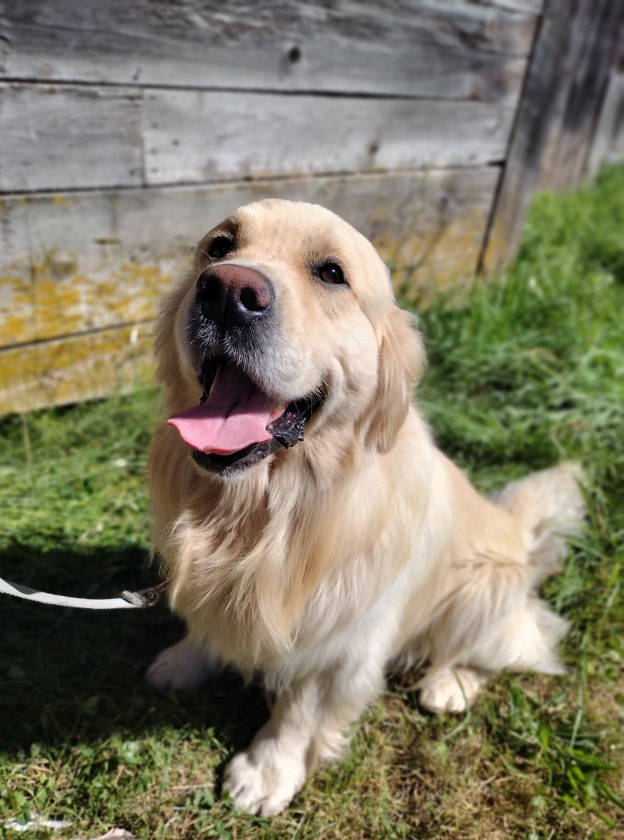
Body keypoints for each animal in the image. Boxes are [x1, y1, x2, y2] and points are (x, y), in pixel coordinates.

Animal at [145, 198, 584, 815]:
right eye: (218, 247)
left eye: (332, 273)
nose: (227, 290)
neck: (263, 509)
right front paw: (186, 659)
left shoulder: (340, 639)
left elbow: (299, 711)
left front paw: (266, 771)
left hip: (484, 592)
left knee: (516, 644)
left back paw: (449, 684)